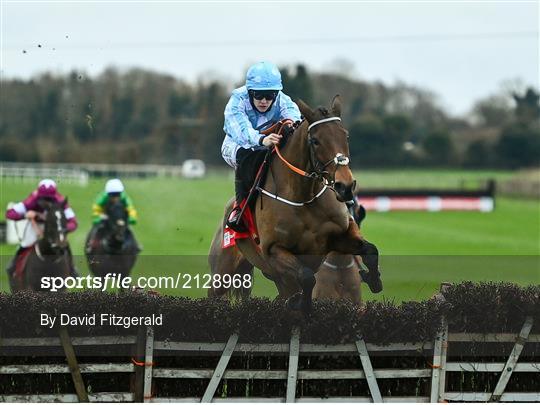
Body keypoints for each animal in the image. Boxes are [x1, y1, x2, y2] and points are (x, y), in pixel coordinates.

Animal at [207, 96, 380, 314]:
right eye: (315, 141)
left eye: (345, 136)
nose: (345, 186)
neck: (304, 198)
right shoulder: (274, 251)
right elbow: (306, 276)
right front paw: (300, 304)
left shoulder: (340, 235)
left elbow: (371, 250)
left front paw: (373, 279)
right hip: (223, 273)